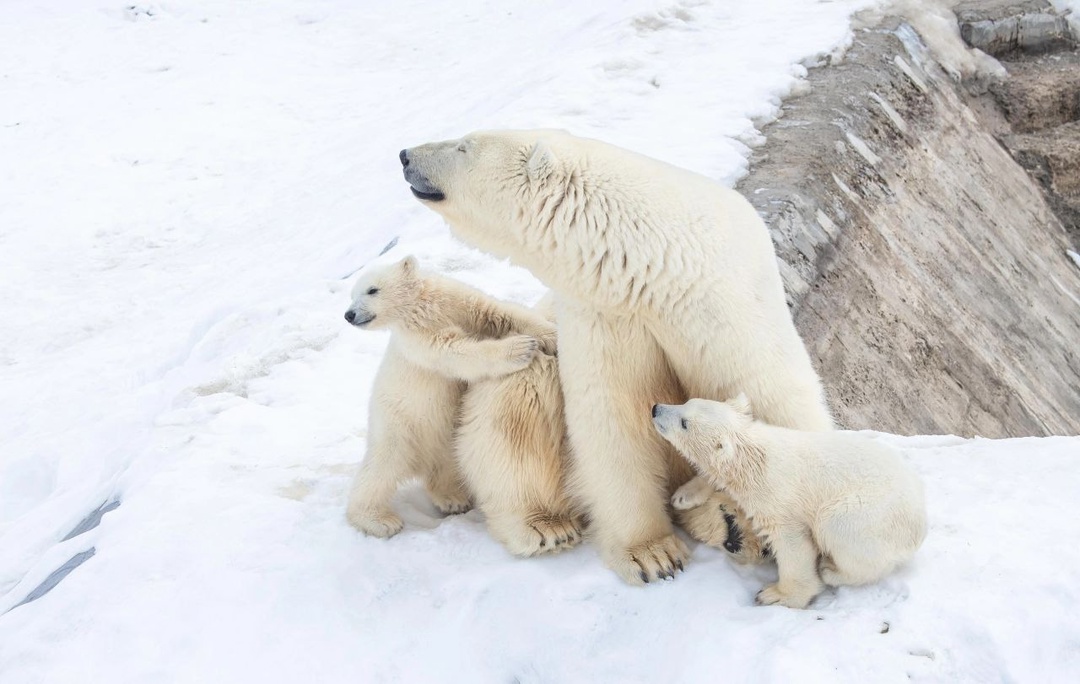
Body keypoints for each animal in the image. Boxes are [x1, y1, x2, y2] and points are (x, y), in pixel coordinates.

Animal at [343, 253, 557, 535]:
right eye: (351, 295)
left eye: (371, 289)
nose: (349, 314)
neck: (425, 309)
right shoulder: (419, 341)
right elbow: (457, 353)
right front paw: (521, 348)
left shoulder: (458, 300)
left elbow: (500, 313)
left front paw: (550, 336)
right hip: (397, 428)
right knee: (380, 470)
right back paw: (378, 520)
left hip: (443, 435)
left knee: (446, 465)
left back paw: (454, 499)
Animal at [401, 129, 829, 583]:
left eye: (462, 146)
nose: (405, 155)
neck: (657, 265)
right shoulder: (606, 312)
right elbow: (613, 415)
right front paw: (653, 554)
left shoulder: (719, 305)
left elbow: (771, 395)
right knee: (521, 396)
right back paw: (544, 526)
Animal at [652, 395, 933, 609]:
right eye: (686, 402)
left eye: (684, 423)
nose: (655, 409)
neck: (753, 457)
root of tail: (919, 528)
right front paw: (682, 496)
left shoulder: (778, 497)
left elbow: (793, 544)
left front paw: (775, 595)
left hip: (868, 515)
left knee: (841, 532)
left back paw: (832, 570)